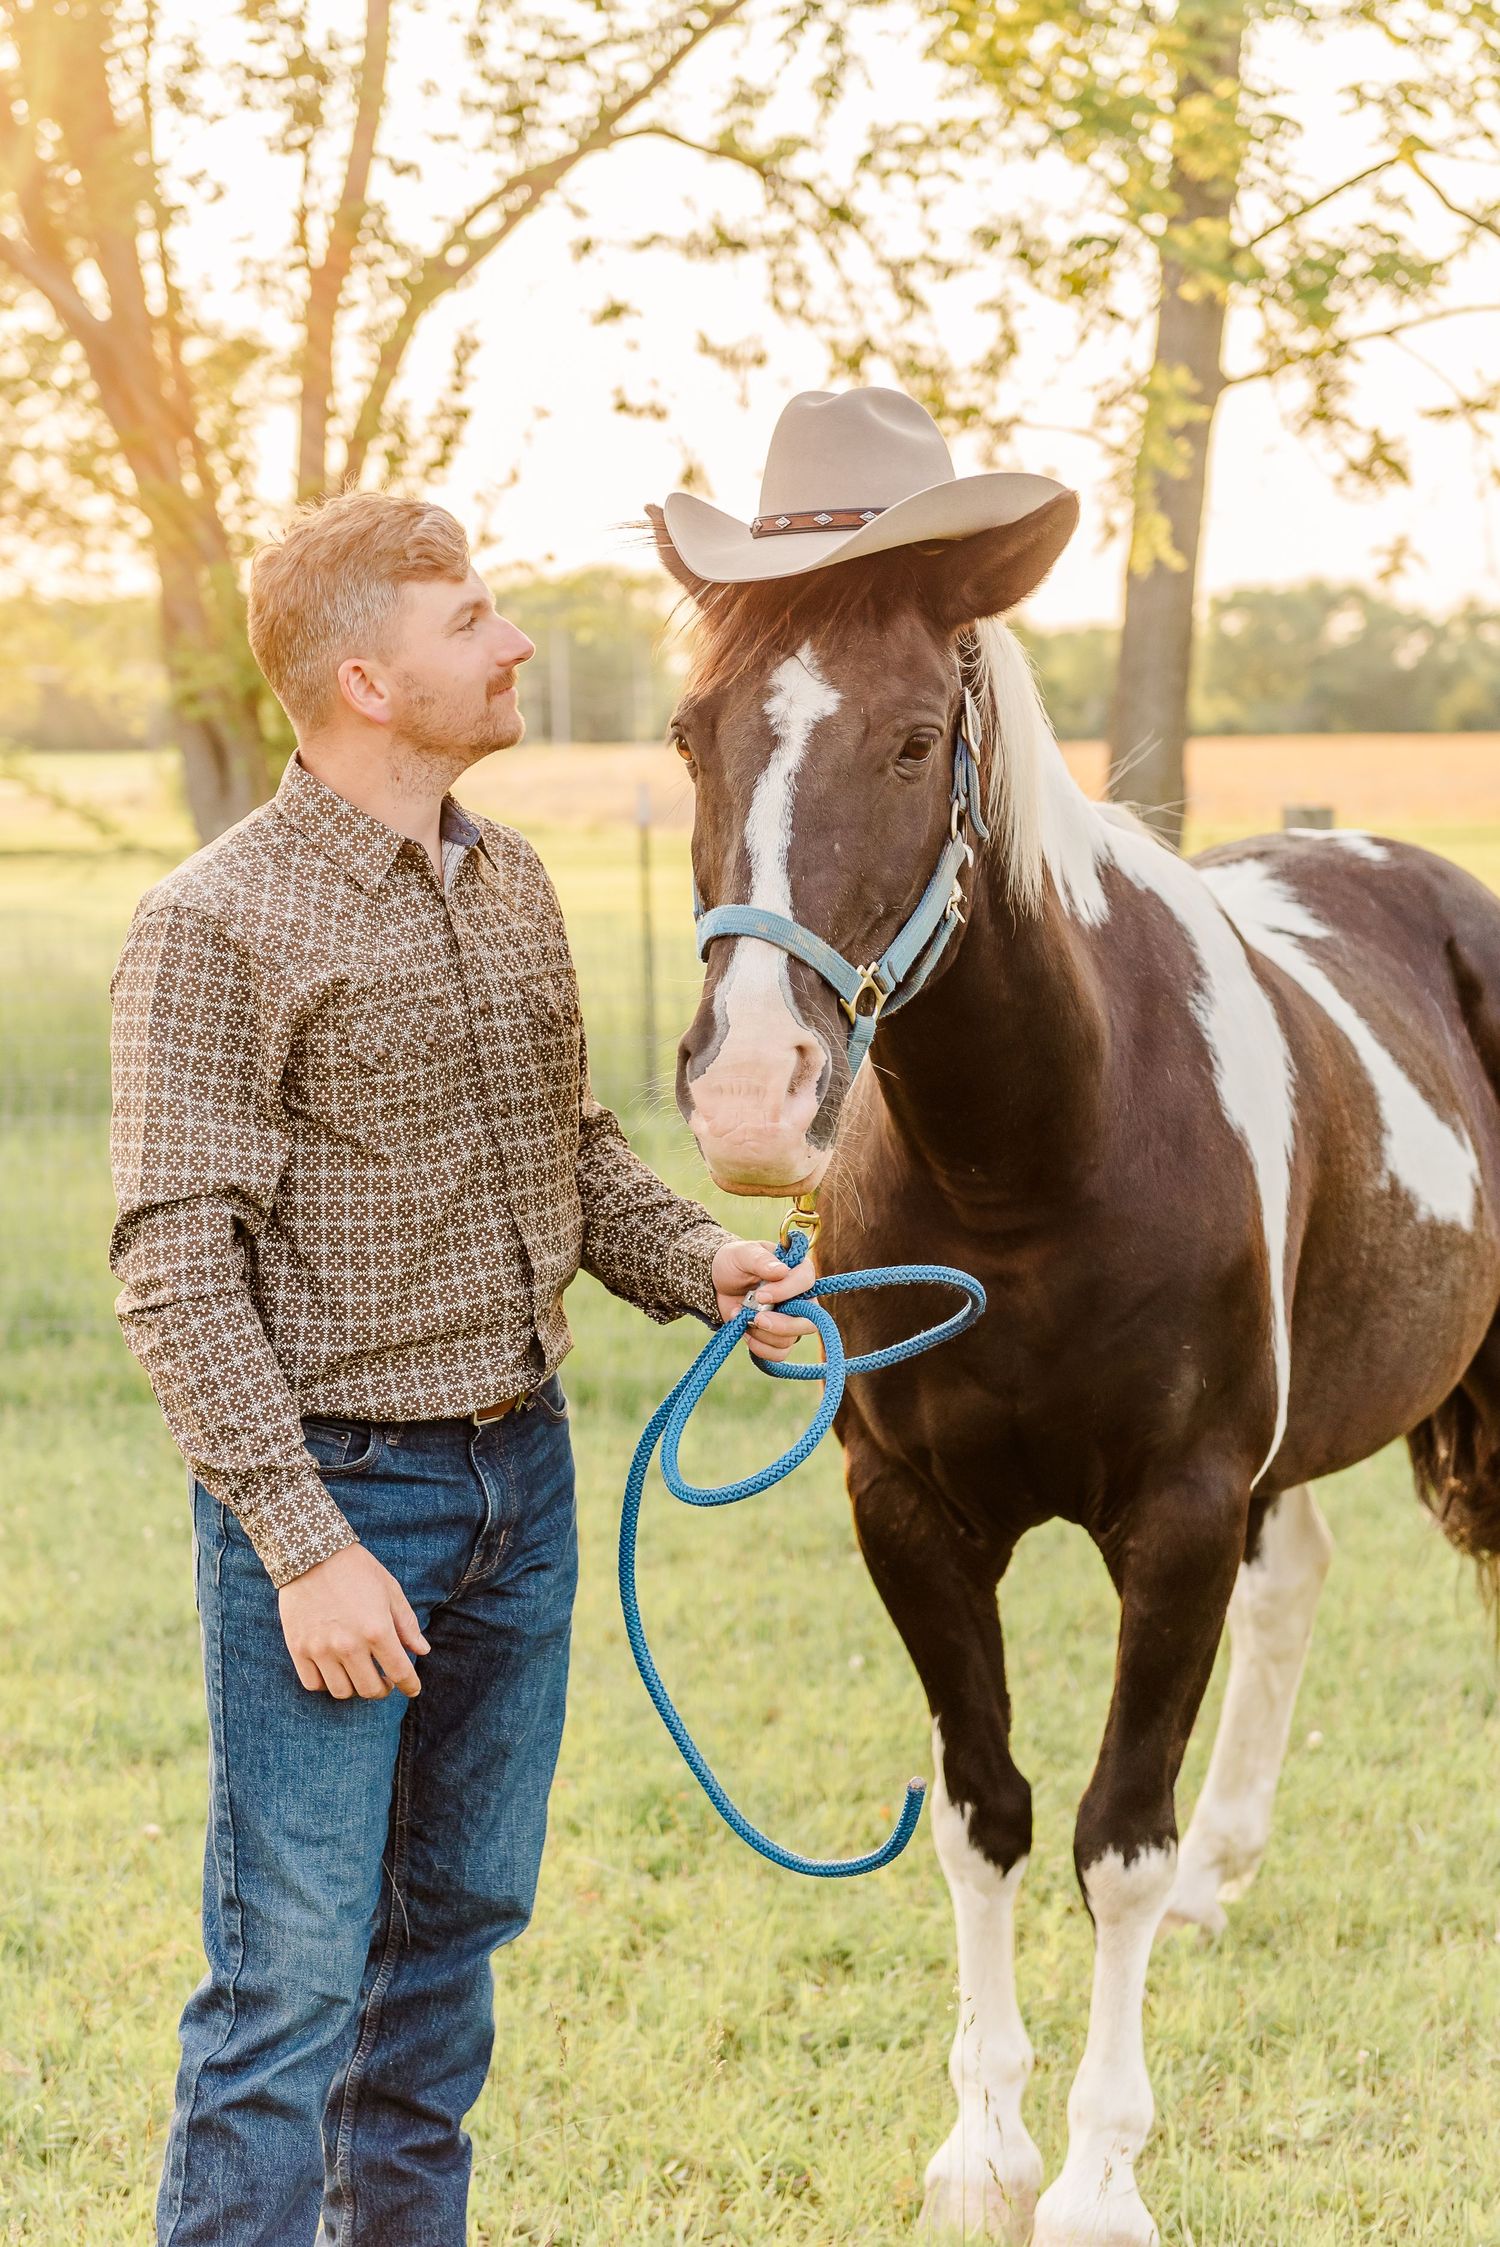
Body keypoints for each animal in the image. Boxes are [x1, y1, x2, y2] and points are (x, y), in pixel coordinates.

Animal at [644, 495, 1500, 2246]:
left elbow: (1117, 1843)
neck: (1040, 1150)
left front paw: (1102, 2173)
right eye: (694, 734)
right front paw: (983, 2147)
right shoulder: (911, 1515)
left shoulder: (1173, 1519)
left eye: (915, 742)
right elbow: (986, 1810)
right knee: (1296, 1580)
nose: (756, 1088)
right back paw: (1230, 1873)